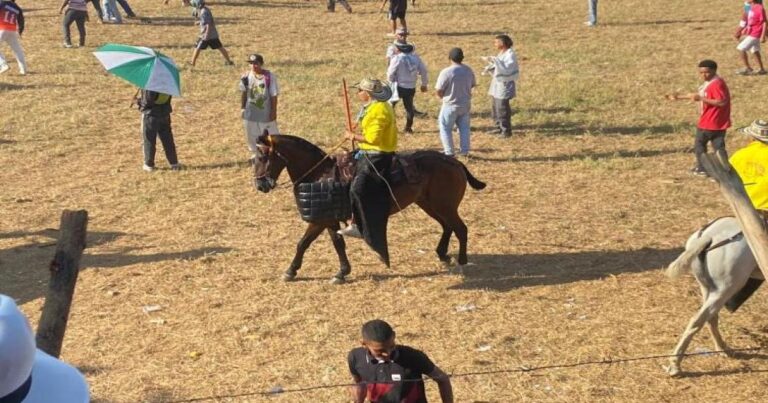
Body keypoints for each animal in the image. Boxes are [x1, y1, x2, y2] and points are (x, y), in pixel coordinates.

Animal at [254, 133, 486, 284]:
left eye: (263, 157)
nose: (260, 185)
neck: (320, 173)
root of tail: (454, 163)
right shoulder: (328, 220)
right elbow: (331, 243)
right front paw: (339, 272)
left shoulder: (320, 220)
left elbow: (305, 243)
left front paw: (293, 271)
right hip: (429, 204)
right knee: (447, 226)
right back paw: (442, 254)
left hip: (444, 206)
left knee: (460, 228)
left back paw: (462, 261)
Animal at [664, 218, 764, 378]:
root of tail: (707, 236)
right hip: (726, 288)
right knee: (697, 320)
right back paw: (675, 365)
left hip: (708, 288)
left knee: (711, 318)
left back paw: (722, 348)